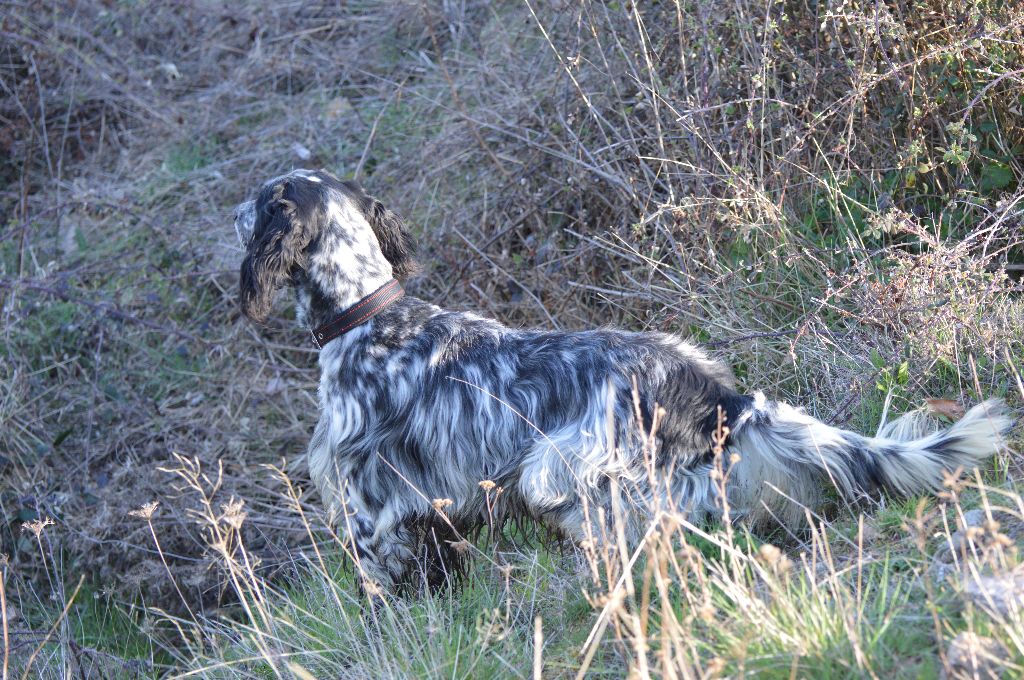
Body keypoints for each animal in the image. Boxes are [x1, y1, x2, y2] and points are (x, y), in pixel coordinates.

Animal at [234, 168, 1015, 593]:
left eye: (263, 199)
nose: (234, 209)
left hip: (561, 471)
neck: (369, 315)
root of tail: (722, 396)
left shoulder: (370, 508)